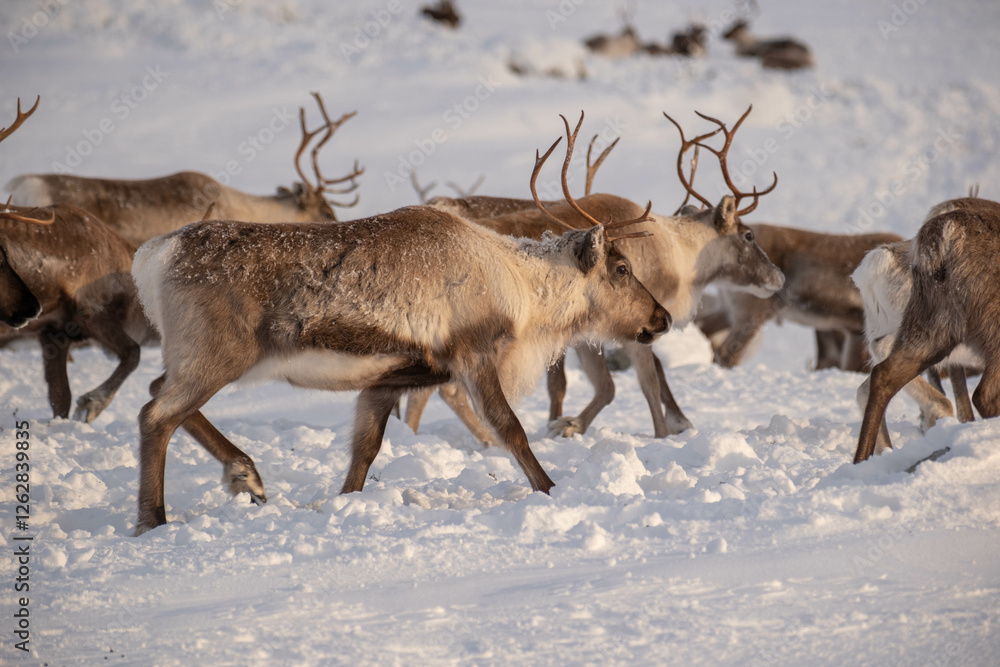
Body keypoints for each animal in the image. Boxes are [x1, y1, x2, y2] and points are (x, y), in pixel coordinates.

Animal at [128, 114, 671, 535]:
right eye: (622, 269)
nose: (661, 318)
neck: (517, 288)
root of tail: (154, 254)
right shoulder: (474, 356)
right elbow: (510, 429)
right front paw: (551, 490)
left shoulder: (387, 380)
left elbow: (362, 454)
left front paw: (345, 506)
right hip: (216, 355)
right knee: (155, 414)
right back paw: (154, 519)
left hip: (194, 356)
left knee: (159, 393)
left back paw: (244, 475)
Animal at [404, 107, 786, 442]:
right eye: (749, 235)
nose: (779, 277)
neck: (679, 256)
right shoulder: (630, 325)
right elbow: (646, 381)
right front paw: (665, 433)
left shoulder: (588, 332)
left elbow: (605, 385)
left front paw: (568, 425)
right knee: (440, 392)